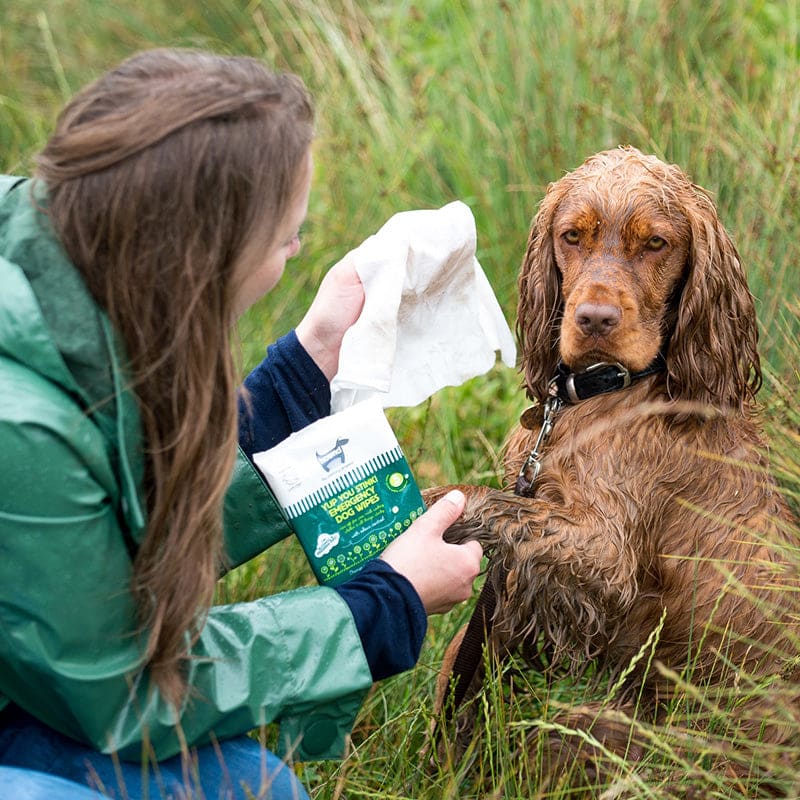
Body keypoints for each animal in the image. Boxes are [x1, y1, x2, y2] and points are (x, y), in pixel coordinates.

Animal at [428, 147, 796, 784]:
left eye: (656, 244)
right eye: (572, 236)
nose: (595, 319)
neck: (603, 393)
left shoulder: (604, 557)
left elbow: (498, 505)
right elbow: (465, 653)